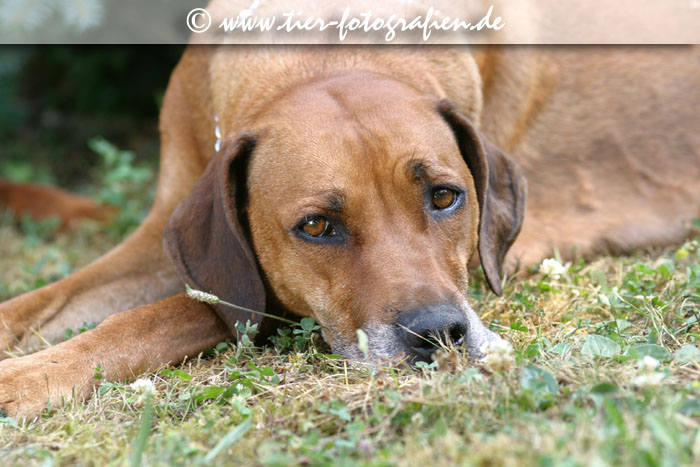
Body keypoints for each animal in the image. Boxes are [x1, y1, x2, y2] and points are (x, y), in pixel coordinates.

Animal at [0, 36, 696, 418]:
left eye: (445, 196)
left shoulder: (257, 300)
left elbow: (157, 317)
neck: (324, 55)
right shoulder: (159, 242)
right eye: (317, 225)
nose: (439, 335)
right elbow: (42, 305)